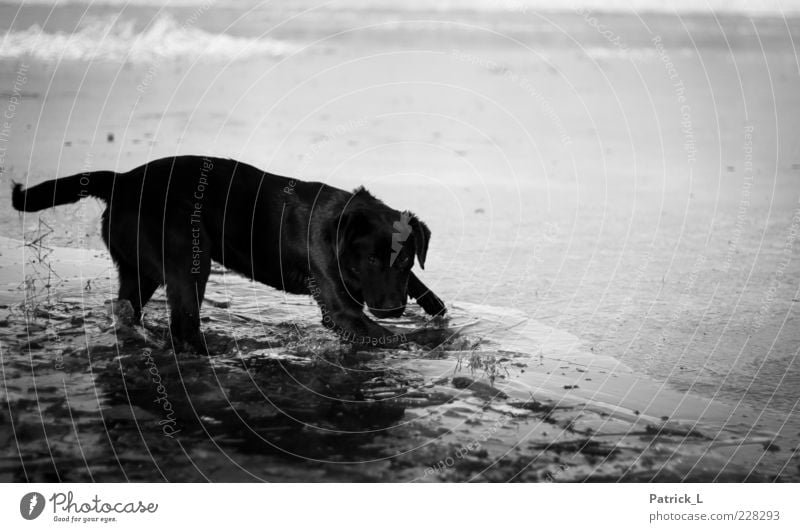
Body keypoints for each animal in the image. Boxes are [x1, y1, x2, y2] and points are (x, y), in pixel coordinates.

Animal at [10, 156, 444, 352]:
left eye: (405, 260)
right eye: (370, 260)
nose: (394, 309)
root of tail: (122, 180)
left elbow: (422, 290)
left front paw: (433, 307)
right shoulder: (339, 308)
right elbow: (385, 335)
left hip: (139, 269)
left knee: (128, 308)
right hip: (187, 262)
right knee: (183, 324)